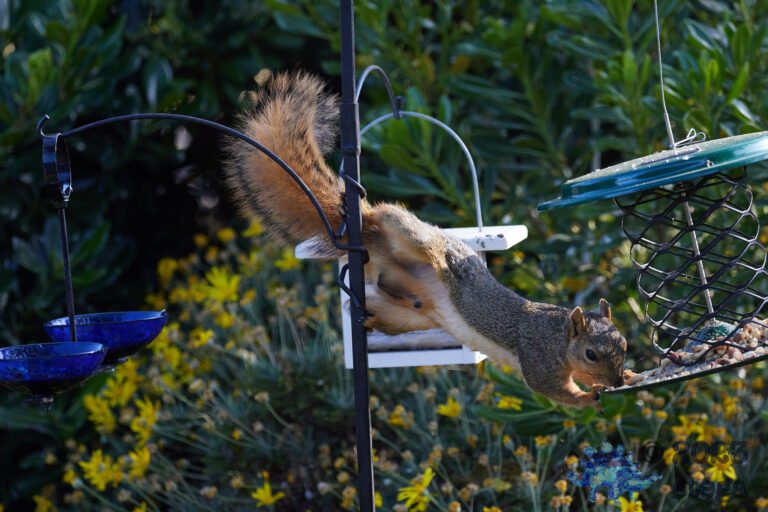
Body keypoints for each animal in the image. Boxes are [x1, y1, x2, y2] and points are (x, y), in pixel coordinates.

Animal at [223, 71, 631, 408]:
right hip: (413, 237)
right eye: (591, 353)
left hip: (407, 316)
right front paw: (588, 396)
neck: (560, 338)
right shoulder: (538, 357)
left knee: (387, 298)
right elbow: (551, 389)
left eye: (625, 345)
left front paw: (626, 376)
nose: (615, 380)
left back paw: (371, 316)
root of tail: (371, 234)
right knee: (397, 226)